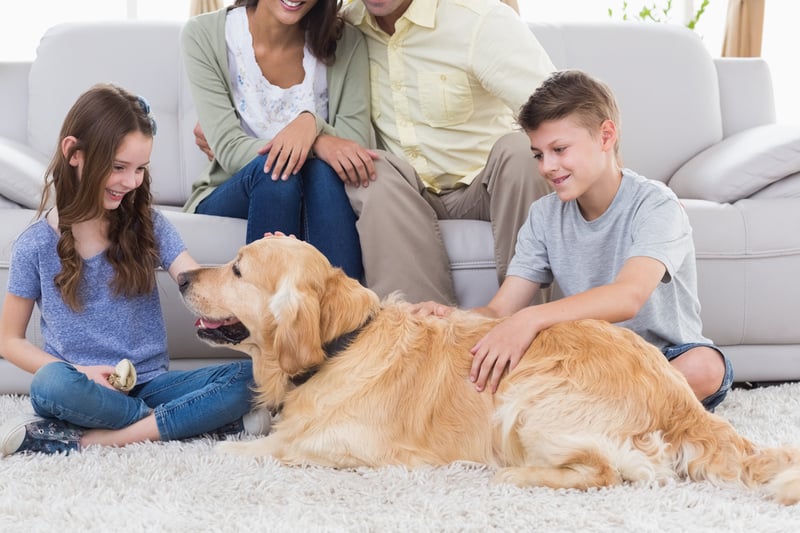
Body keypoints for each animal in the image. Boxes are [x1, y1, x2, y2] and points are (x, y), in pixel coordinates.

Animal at [178, 236, 800, 502]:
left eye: (237, 269)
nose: (181, 278)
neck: (341, 344)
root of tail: (679, 400)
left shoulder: (347, 447)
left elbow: (248, 449)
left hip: (525, 398)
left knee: (609, 471)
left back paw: (514, 476)